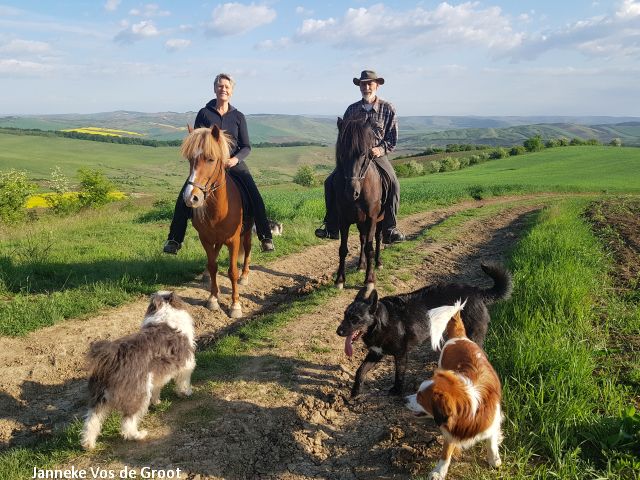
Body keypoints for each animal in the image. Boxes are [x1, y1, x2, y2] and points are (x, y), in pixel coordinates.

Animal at [80, 290, 195, 452]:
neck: (164, 314)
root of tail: (114, 356)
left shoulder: (157, 375)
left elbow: (157, 388)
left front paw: (157, 401)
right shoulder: (186, 364)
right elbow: (184, 382)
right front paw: (186, 393)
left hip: (99, 397)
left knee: (92, 420)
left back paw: (88, 444)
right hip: (138, 393)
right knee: (128, 422)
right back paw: (138, 435)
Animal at [181, 125, 251, 316]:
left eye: (211, 159)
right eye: (190, 159)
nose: (191, 198)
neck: (219, 210)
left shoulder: (234, 240)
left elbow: (232, 271)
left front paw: (235, 305)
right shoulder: (205, 239)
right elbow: (213, 266)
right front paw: (213, 298)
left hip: (248, 232)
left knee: (248, 250)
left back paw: (245, 275)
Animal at [332, 118, 382, 294]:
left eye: (364, 154)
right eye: (341, 153)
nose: (351, 192)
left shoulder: (372, 218)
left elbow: (370, 248)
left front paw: (369, 280)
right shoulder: (343, 220)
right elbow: (343, 249)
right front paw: (340, 280)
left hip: (380, 220)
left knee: (377, 239)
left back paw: (378, 263)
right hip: (361, 222)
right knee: (362, 239)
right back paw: (361, 265)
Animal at [404, 300, 504, 480]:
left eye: (420, 397)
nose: (403, 400)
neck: (471, 406)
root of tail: (460, 337)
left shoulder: (493, 421)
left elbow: (491, 442)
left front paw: (494, 459)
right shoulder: (450, 430)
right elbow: (446, 451)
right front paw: (439, 471)